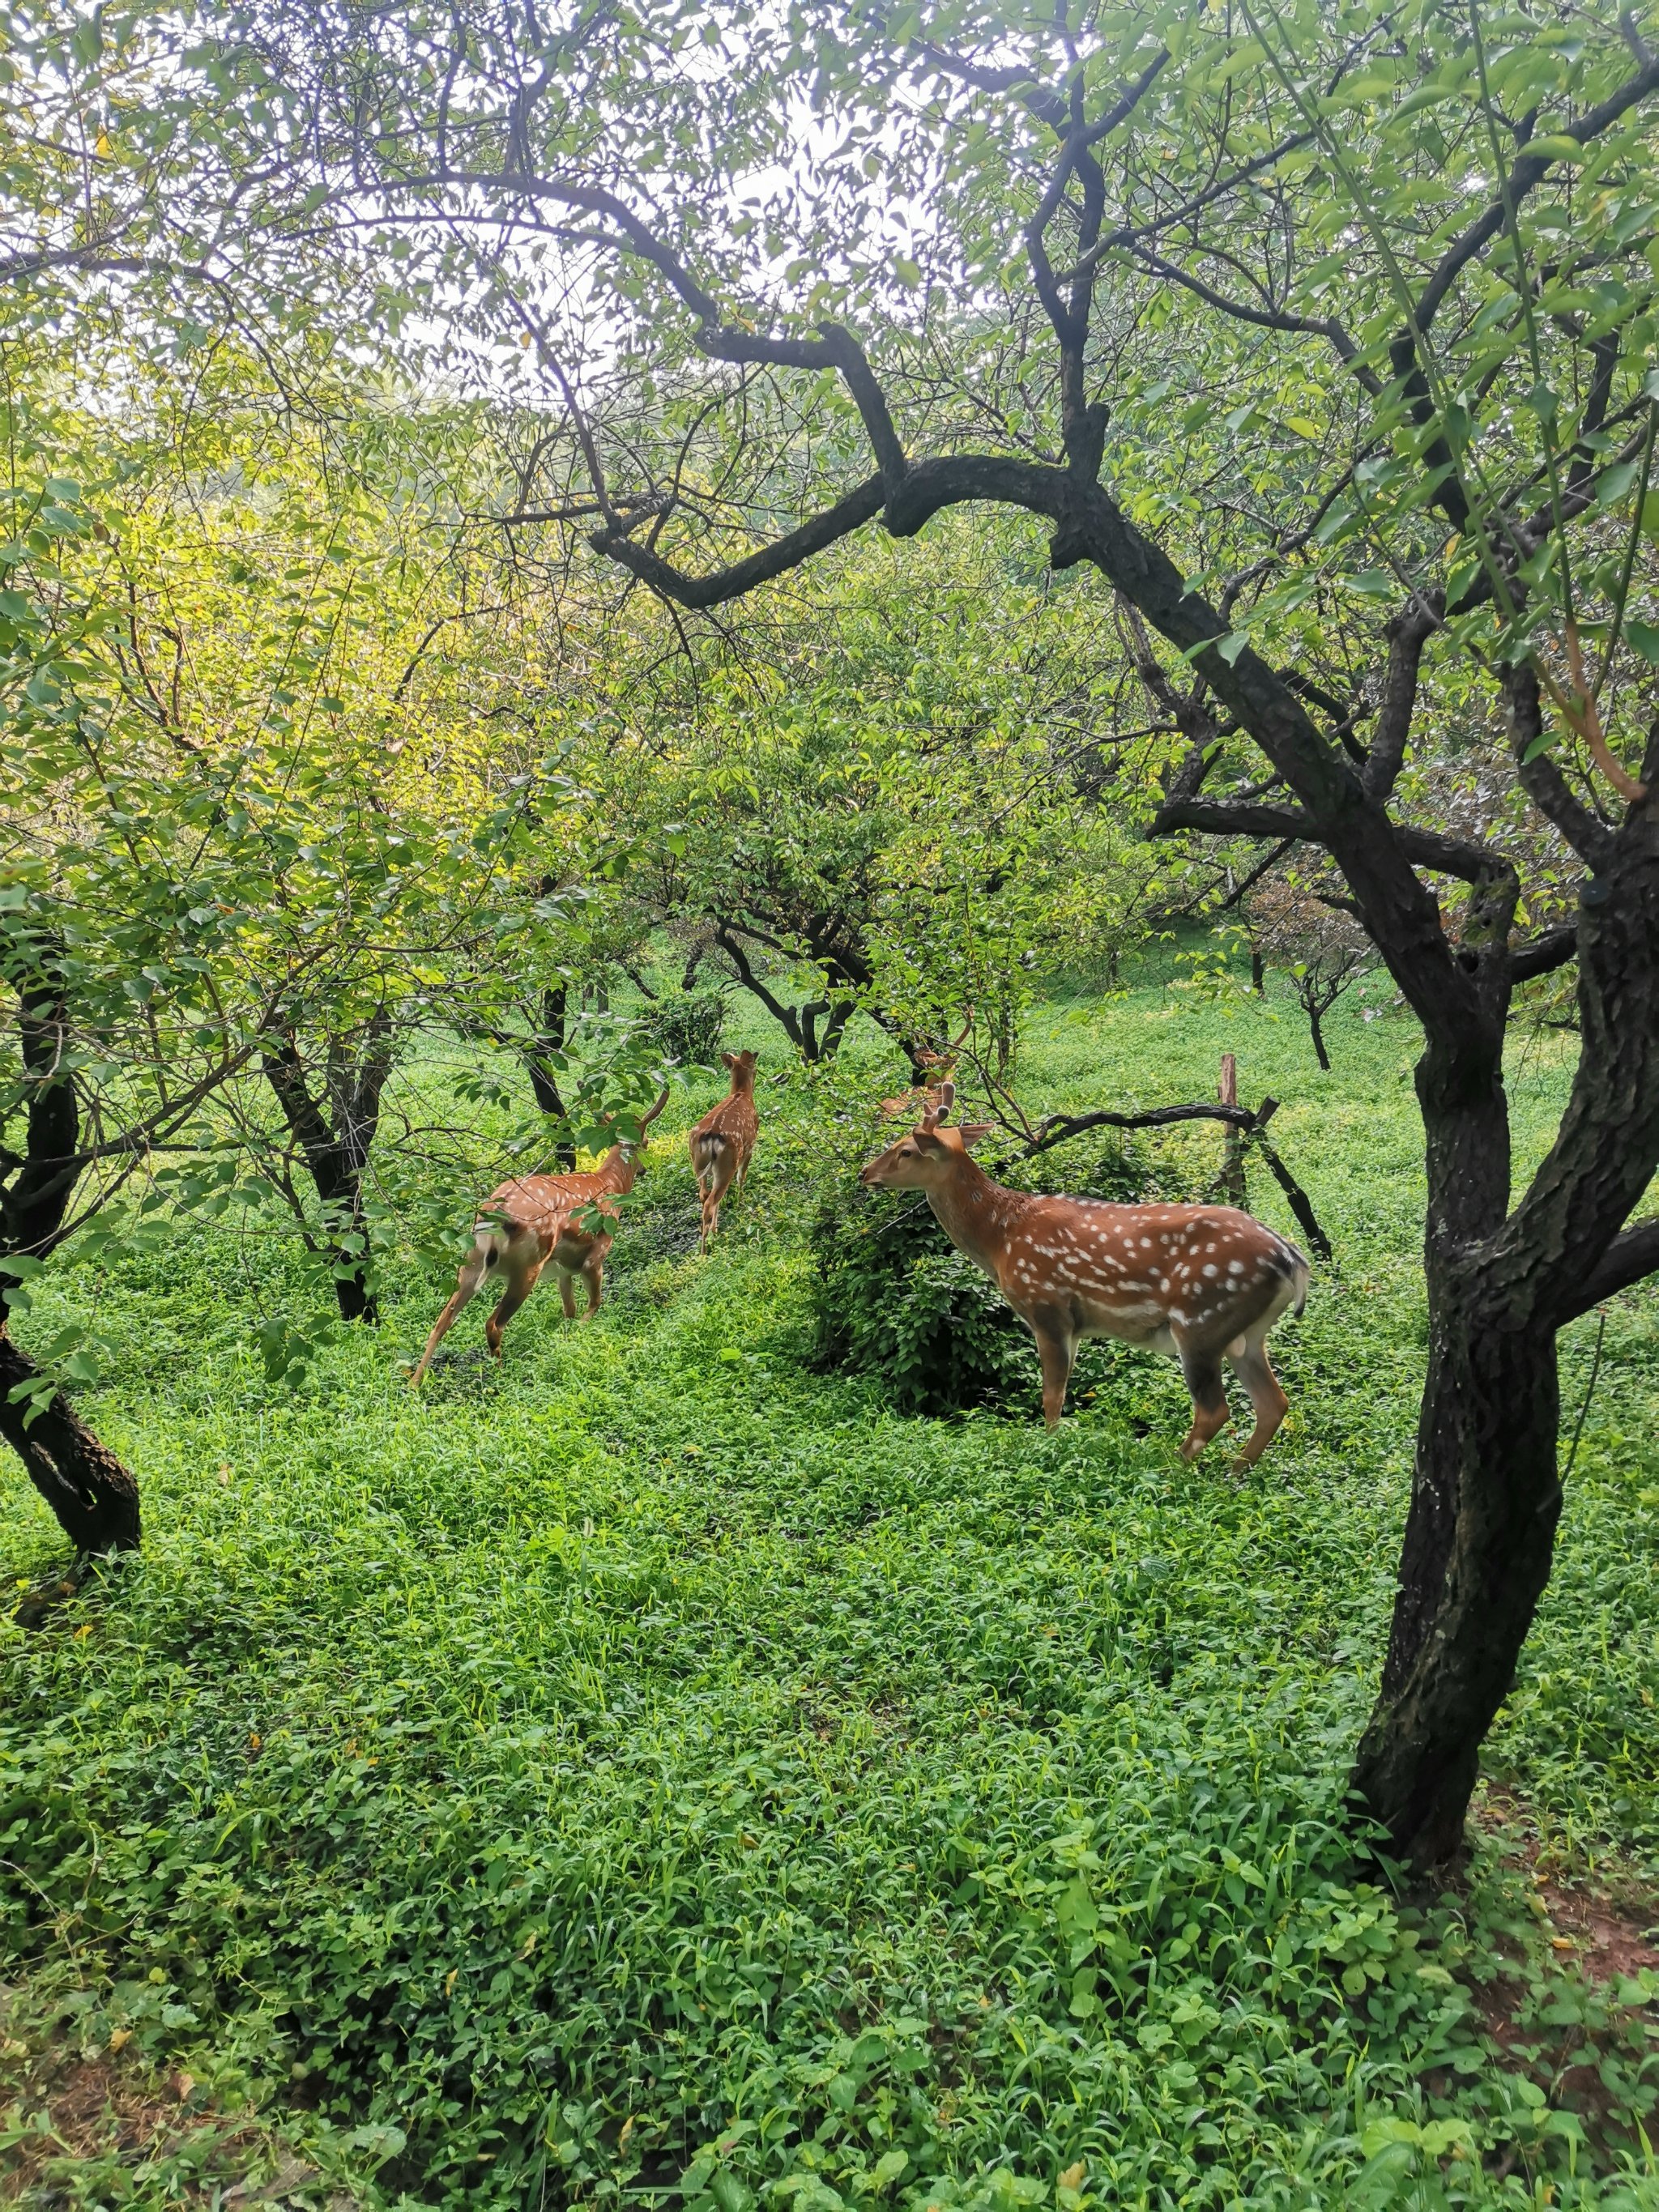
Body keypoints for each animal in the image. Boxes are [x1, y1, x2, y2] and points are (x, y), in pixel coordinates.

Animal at [411, 1088, 667, 1380]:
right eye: (646, 1142)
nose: (644, 1169)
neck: (611, 1185)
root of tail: (492, 1212)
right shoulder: (596, 1255)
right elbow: (593, 1306)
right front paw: (578, 1337)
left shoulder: (564, 1269)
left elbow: (569, 1311)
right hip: (528, 1262)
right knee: (493, 1323)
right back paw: (501, 1375)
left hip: (471, 1260)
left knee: (442, 1320)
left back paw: (415, 1382)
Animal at [689, 1048, 761, 1256]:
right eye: (755, 1070)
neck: (741, 1094)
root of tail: (712, 1136)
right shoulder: (750, 1146)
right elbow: (742, 1177)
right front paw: (740, 1202)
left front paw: (716, 1228)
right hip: (729, 1162)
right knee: (711, 1201)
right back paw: (705, 1250)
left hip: (697, 1162)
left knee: (705, 1196)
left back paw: (709, 1234)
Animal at [858, 1079, 1309, 1460]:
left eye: (905, 1150)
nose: (865, 1173)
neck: (1001, 1239)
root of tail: (1292, 1260)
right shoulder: (1075, 1325)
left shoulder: (1047, 1306)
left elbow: (1052, 1396)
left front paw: (1049, 1449)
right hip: (1246, 1333)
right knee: (1274, 1402)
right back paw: (1234, 1473)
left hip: (1202, 1320)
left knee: (1215, 1410)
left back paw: (1174, 1469)